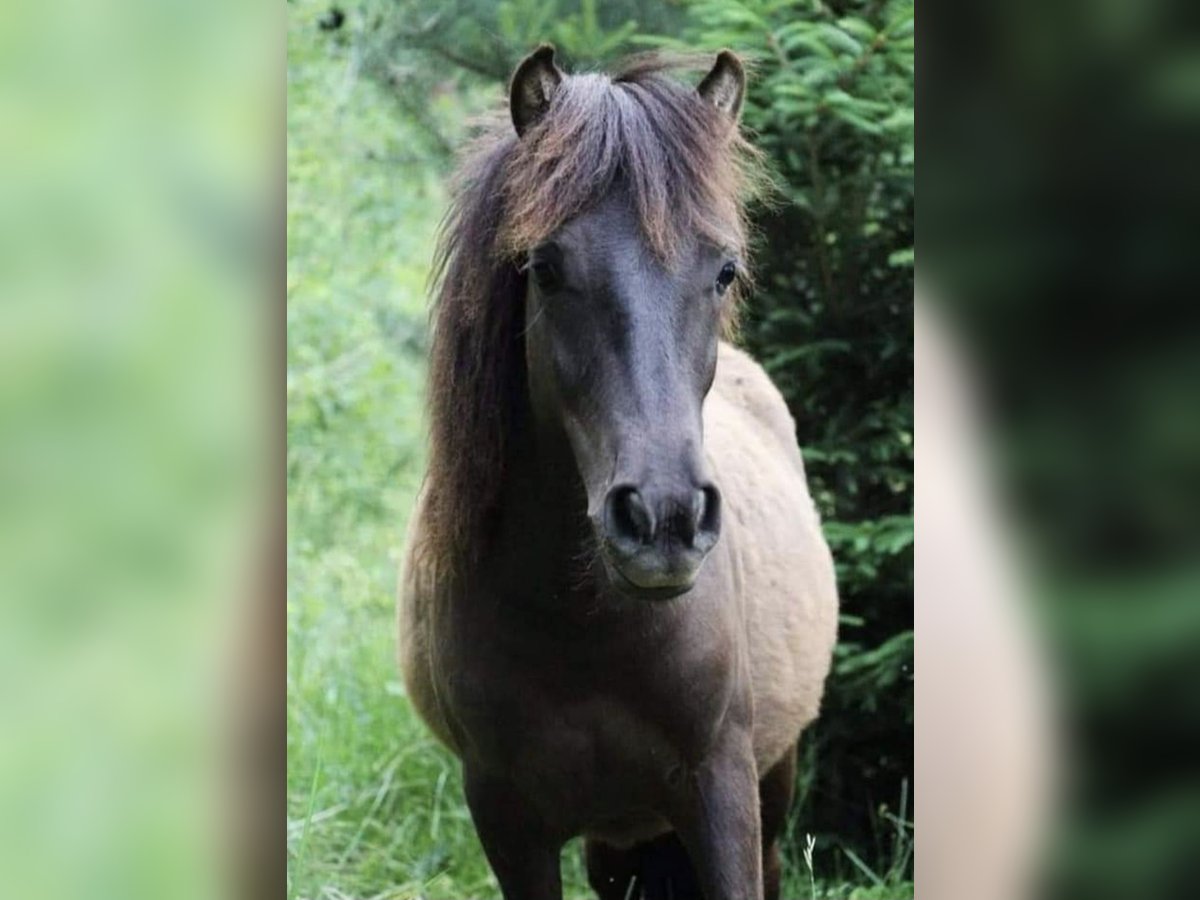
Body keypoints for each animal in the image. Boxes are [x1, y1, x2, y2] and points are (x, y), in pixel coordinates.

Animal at [398, 45, 840, 897]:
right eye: (545, 266)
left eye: (724, 270)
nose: (664, 521)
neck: (581, 629)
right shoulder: (506, 820)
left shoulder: (723, 793)